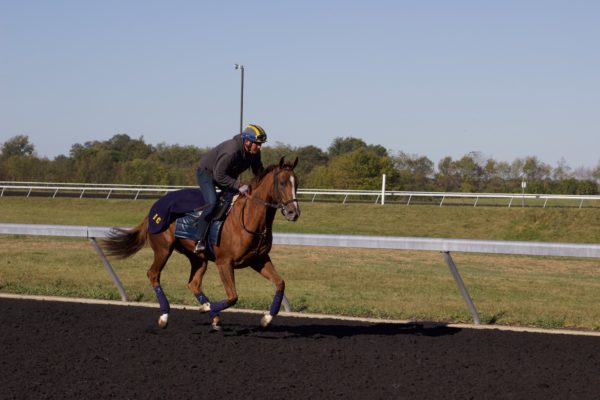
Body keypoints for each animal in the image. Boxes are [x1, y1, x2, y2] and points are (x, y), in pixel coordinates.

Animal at [101, 158, 302, 330]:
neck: (248, 218)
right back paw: (165, 315)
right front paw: (207, 308)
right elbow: (233, 296)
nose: (293, 212)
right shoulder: (224, 262)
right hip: (163, 249)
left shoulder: (258, 259)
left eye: (297, 183)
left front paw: (267, 318)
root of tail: (153, 209)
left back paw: (213, 315)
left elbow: (280, 283)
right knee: (153, 274)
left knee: (193, 283)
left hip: (198, 257)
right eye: (282, 182)